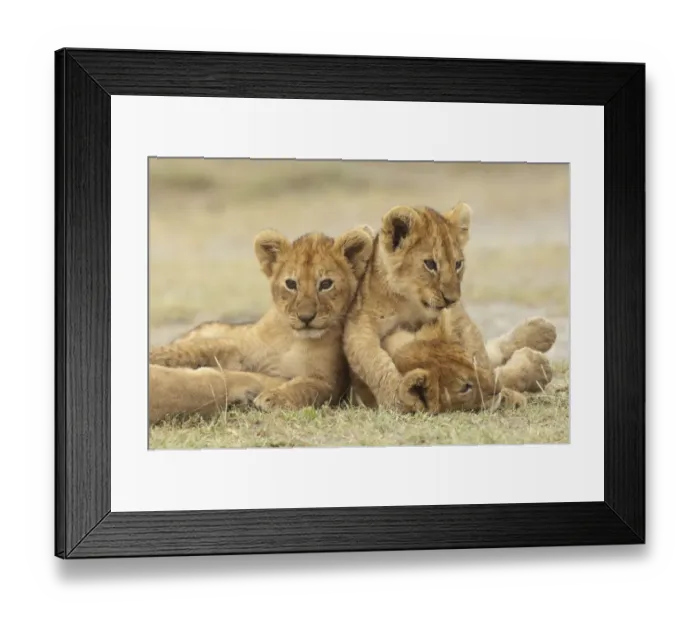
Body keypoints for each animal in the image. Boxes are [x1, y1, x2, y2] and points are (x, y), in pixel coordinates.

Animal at [148, 227, 373, 424]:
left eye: (326, 284)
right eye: (291, 284)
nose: (306, 317)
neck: (292, 339)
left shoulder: (330, 381)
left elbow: (307, 387)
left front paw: (272, 398)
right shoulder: (241, 348)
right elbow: (197, 350)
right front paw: (157, 356)